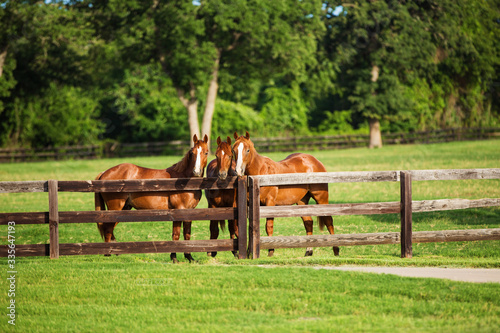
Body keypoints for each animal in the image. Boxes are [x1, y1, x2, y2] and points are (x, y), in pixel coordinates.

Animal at [94, 133, 209, 262]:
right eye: (192, 153)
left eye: (206, 152)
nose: (196, 171)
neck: (183, 178)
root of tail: (104, 173)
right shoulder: (178, 210)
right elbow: (176, 234)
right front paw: (174, 257)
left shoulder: (189, 211)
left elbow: (187, 234)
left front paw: (189, 257)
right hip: (115, 207)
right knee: (108, 228)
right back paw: (107, 253)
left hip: (123, 208)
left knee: (110, 228)